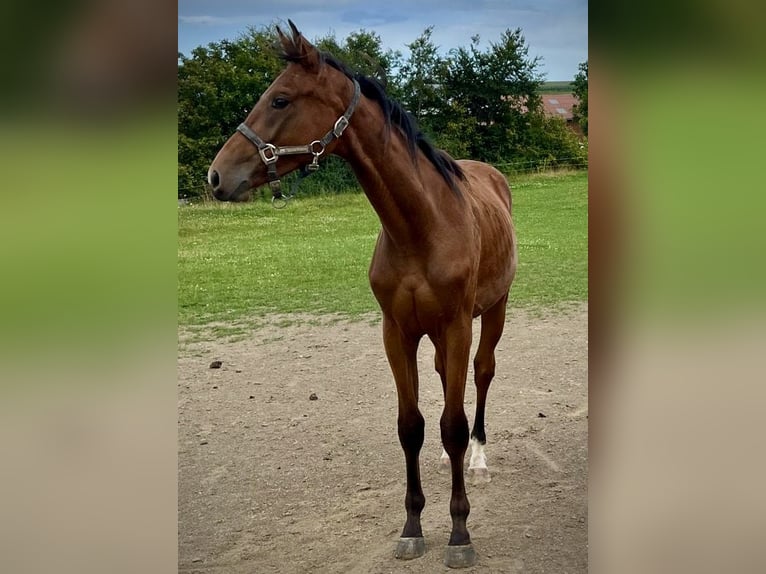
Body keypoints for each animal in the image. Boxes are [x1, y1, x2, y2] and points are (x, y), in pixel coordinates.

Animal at [207, 20, 520, 568]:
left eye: (280, 99)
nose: (217, 176)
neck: (420, 227)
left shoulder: (458, 326)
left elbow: (454, 423)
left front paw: (460, 534)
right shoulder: (396, 332)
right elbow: (412, 426)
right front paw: (412, 526)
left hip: (493, 313)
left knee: (482, 377)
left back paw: (479, 459)